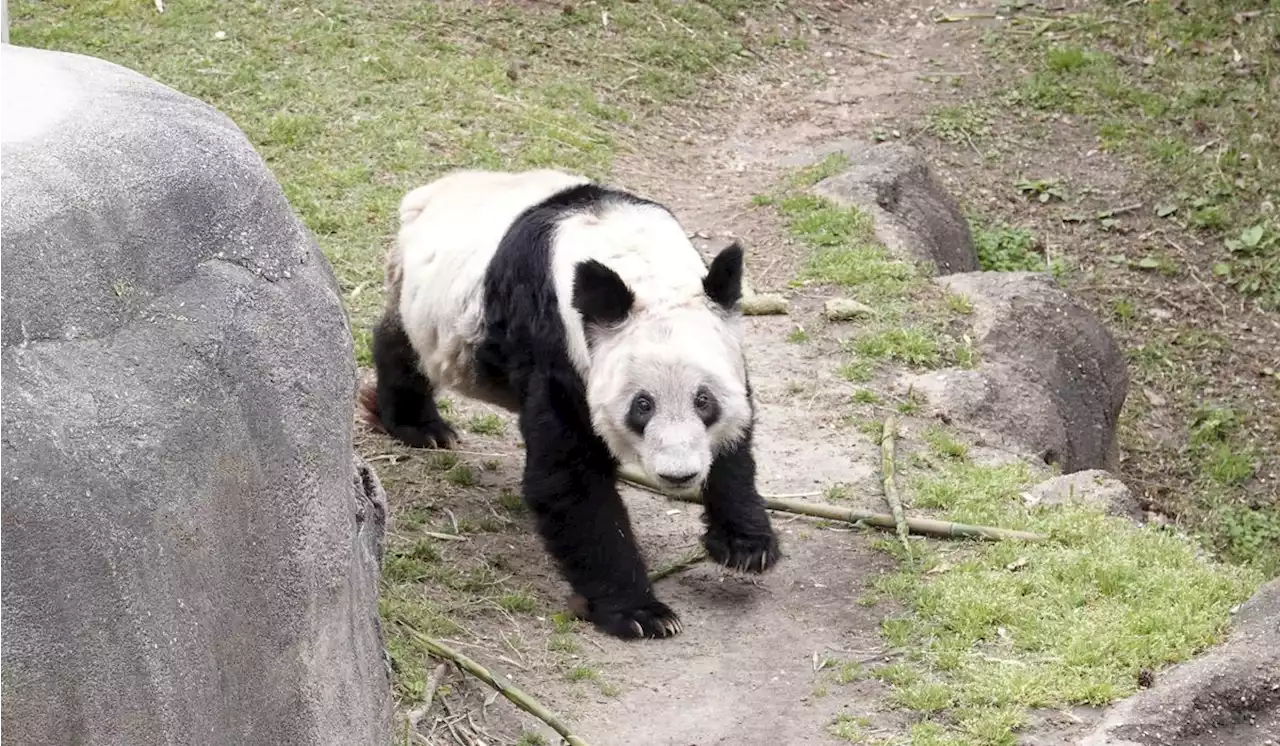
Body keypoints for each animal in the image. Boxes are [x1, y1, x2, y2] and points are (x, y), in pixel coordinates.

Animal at [360, 170, 778, 642]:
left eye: (703, 401)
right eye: (642, 405)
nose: (679, 475)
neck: (637, 260)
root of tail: (431, 191)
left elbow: (736, 440)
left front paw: (746, 544)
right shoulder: (554, 343)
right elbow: (568, 476)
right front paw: (639, 612)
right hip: (424, 302)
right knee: (402, 343)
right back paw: (420, 426)